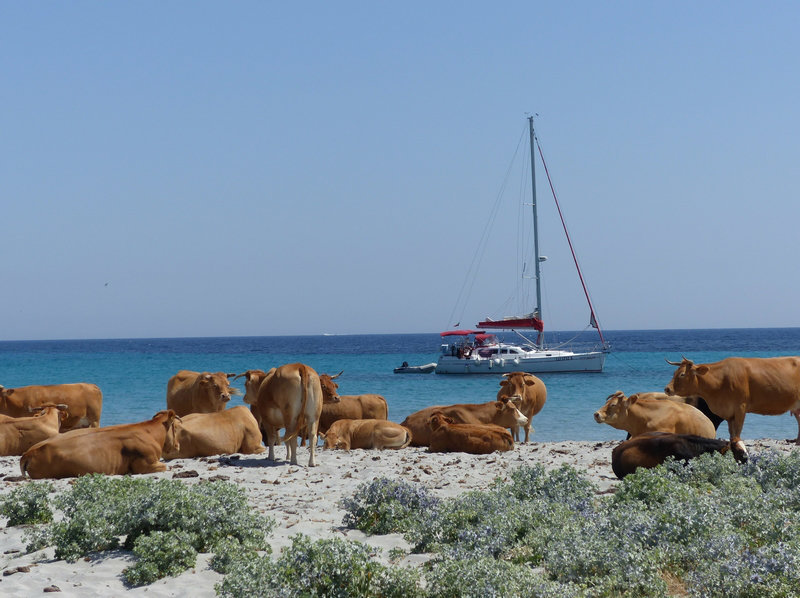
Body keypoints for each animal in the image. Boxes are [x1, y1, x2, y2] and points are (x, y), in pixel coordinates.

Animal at [664, 356, 800, 464]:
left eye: (682, 374)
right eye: (674, 372)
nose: (667, 389)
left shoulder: (741, 408)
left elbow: (737, 432)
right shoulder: (729, 413)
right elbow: (731, 433)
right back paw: (798, 442)